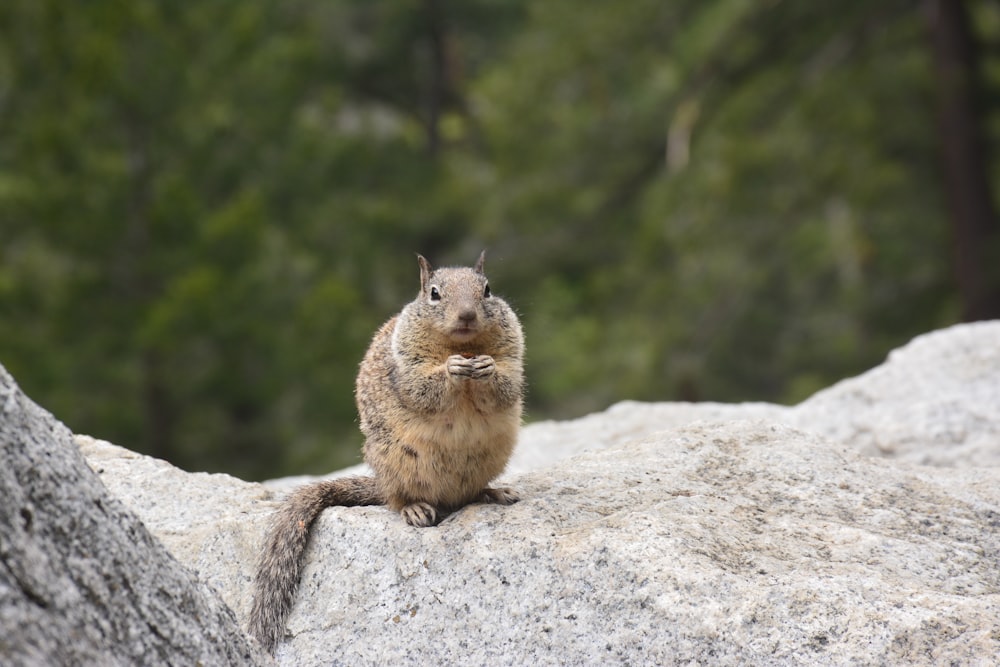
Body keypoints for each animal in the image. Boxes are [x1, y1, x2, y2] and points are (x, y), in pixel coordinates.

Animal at [246, 250, 524, 652]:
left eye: (487, 289)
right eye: (434, 294)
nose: (467, 315)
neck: (461, 345)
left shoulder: (513, 353)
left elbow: (507, 386)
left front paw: (486, 368)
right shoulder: (405, 366)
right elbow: (423, 389)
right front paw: (451, 370)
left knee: (470, 494)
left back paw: (493, 492)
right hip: (396, 463)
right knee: (397, 500)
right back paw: (415, 509)